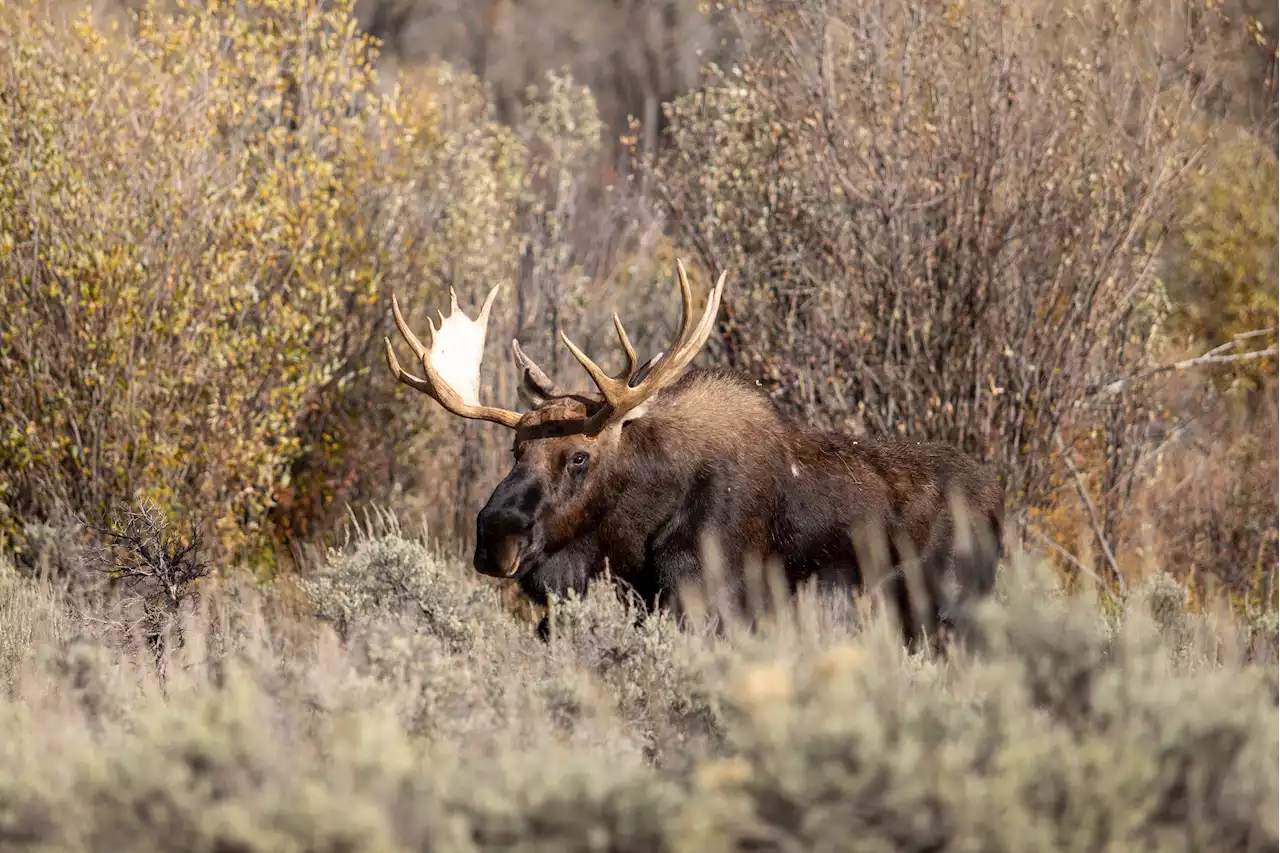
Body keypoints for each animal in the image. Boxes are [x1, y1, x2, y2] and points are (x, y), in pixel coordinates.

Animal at [384, 258, 1003, 645]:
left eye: (580, 456)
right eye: (515, 449)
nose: (495, 536)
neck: (633, 536)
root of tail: (1001, 508)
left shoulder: (710, 604)